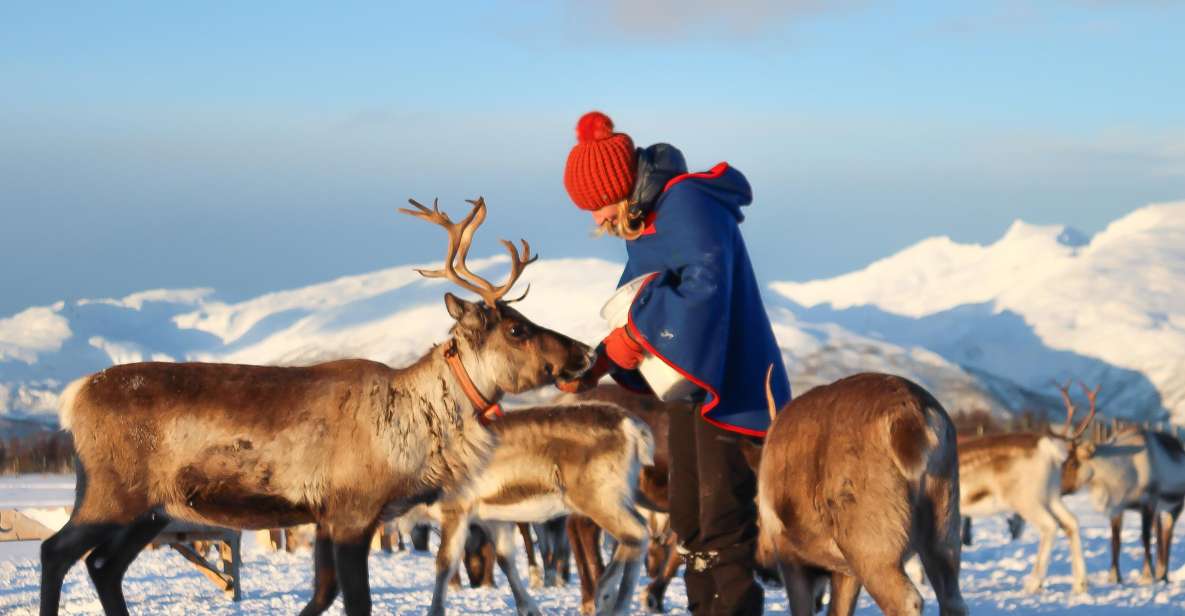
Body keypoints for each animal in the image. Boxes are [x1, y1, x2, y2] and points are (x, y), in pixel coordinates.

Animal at [753, 369, 966, 616]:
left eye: (755, 504)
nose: (761, 571)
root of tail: (912, 417)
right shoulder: (846, 570)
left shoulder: (791, 557)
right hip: (944, 527)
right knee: (953, 599)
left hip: (871, 545)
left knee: (907, 600)